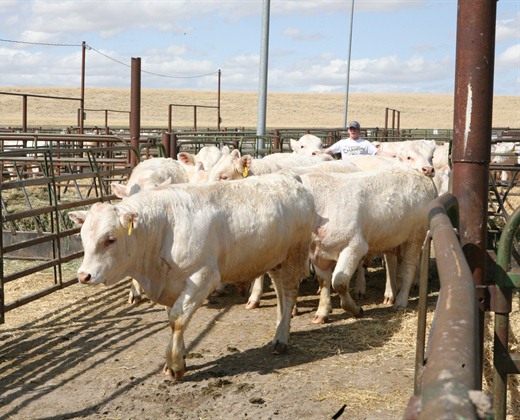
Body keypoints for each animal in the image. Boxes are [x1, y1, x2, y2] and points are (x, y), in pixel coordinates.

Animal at [67, 173, 314, 380]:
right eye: (83, 236)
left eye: (110, 239)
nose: (84, 275)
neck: (165, 227)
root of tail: (291, 178)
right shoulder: (170, 284)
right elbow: (172, 317)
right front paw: (181, 355)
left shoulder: (203, 277)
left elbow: (177, 320)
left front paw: (175, 364)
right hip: (275, 260)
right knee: (281, 293)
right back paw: (279, 330)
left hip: (293, 257)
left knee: (289, 293)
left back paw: (281, 339)